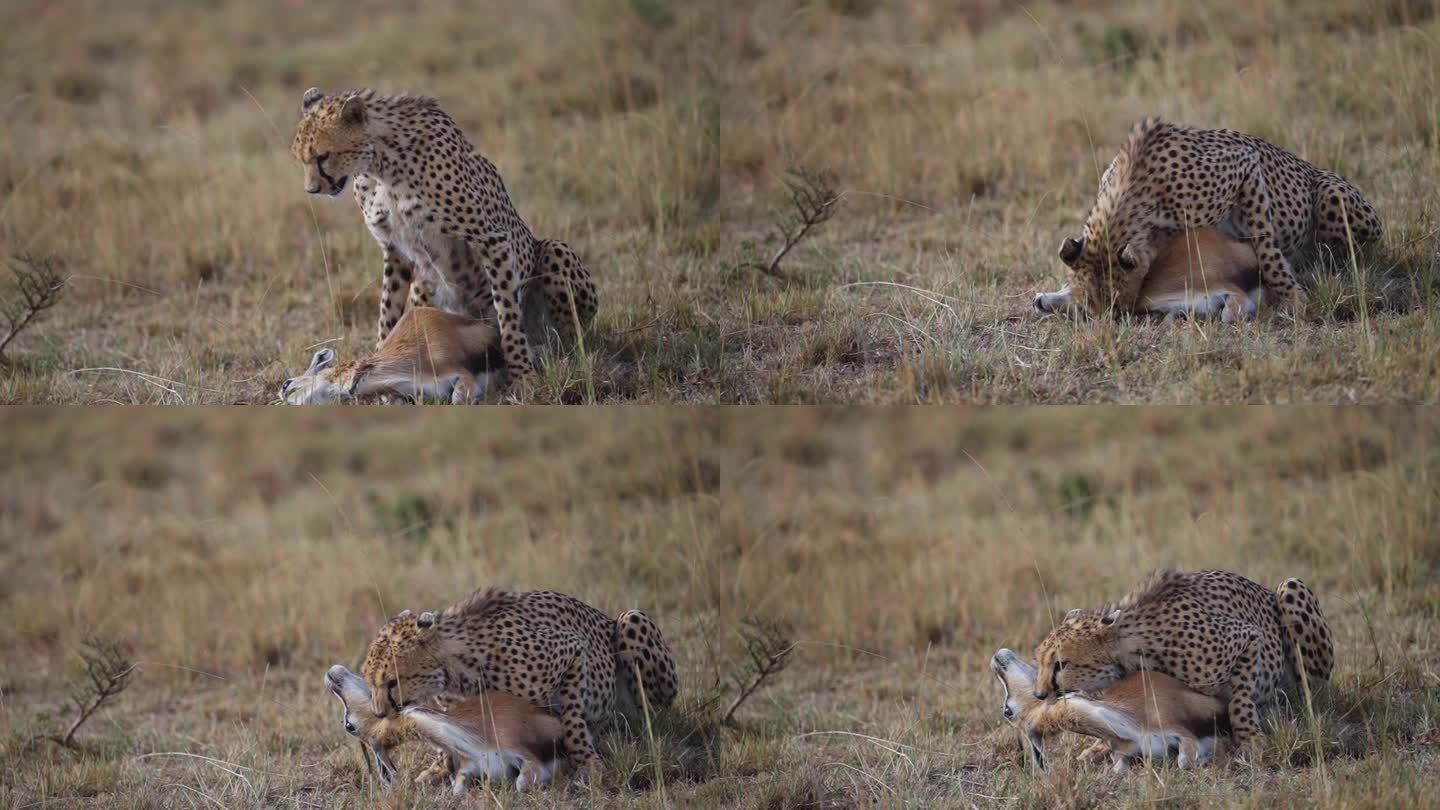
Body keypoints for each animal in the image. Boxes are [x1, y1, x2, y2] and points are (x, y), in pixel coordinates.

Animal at [292, 88, 596, 389]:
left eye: (322, 156)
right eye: (301, 159)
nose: (311, 190)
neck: (382, 164)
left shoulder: (492, 240)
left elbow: (508, 314)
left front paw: (522, 375)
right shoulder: (395, 250)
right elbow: (387, 311)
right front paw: (379, 355)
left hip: (555, 251)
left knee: (571, 337)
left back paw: (559, 356)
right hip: (422, 287)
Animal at [357, 585, 676, 778]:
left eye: (392, 682)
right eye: (370, 682)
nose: (378, 713)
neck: (456, 668)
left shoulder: (573, 650)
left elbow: (572, 719)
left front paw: (586, 760)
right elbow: (444, 740)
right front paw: (436, 771)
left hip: (631, 620)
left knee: (652, 715)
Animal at [1036, 118, 1382, 317]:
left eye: (1120, 304)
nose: (1125, 315)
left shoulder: (1246, 166)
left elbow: (1266, 246)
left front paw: (1292, 298)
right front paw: (1055, 296)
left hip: (1330, 194)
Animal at [1036, 567, 1324, 743]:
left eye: (1061, 664)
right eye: (1038, 661)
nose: (1039, 694)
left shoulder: (1248, 636)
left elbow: (1240, 699)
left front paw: (1249, 737)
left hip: (1291, 588)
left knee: (1311, 691)